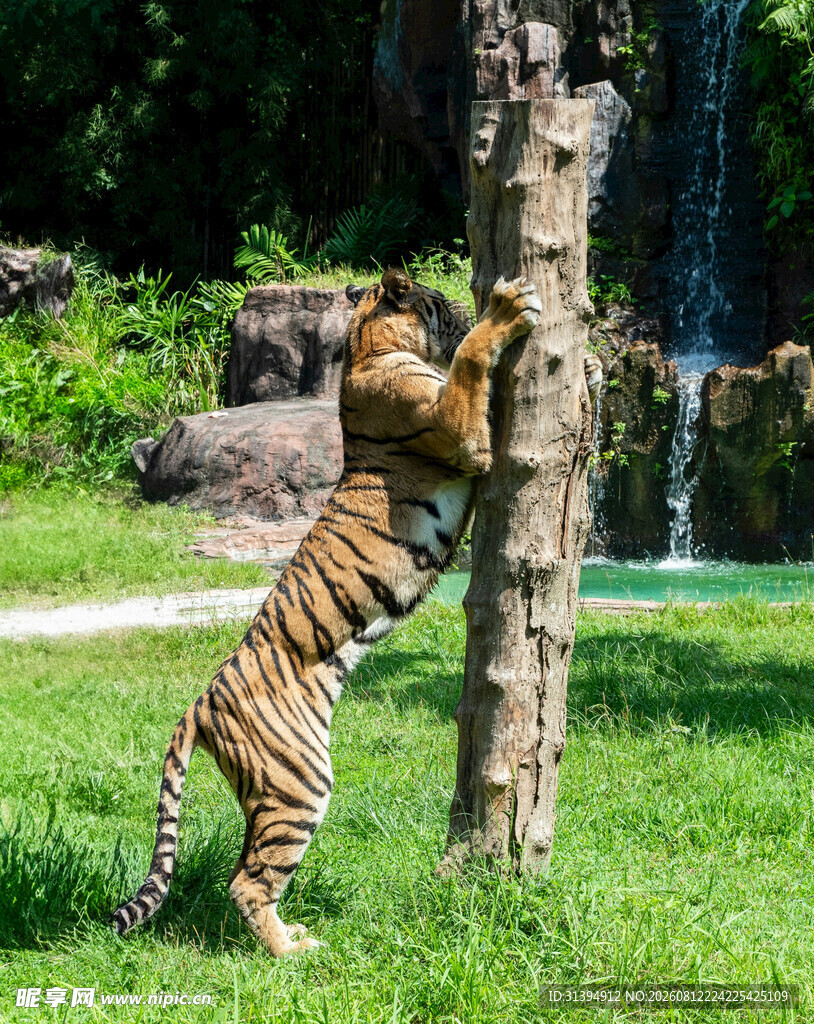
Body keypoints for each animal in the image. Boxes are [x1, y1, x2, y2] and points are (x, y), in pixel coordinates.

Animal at [112, 268, 602, 955]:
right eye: (443, 302)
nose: (467, 301)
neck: (367, 347)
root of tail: (198, 707)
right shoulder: (459, 431)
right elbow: (472, 357)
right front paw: (507, 310)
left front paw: (591, 369)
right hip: (298, 783)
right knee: (247, 882)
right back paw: (292, 952)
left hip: (270, 790)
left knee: (245, 870)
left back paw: (290, 935)